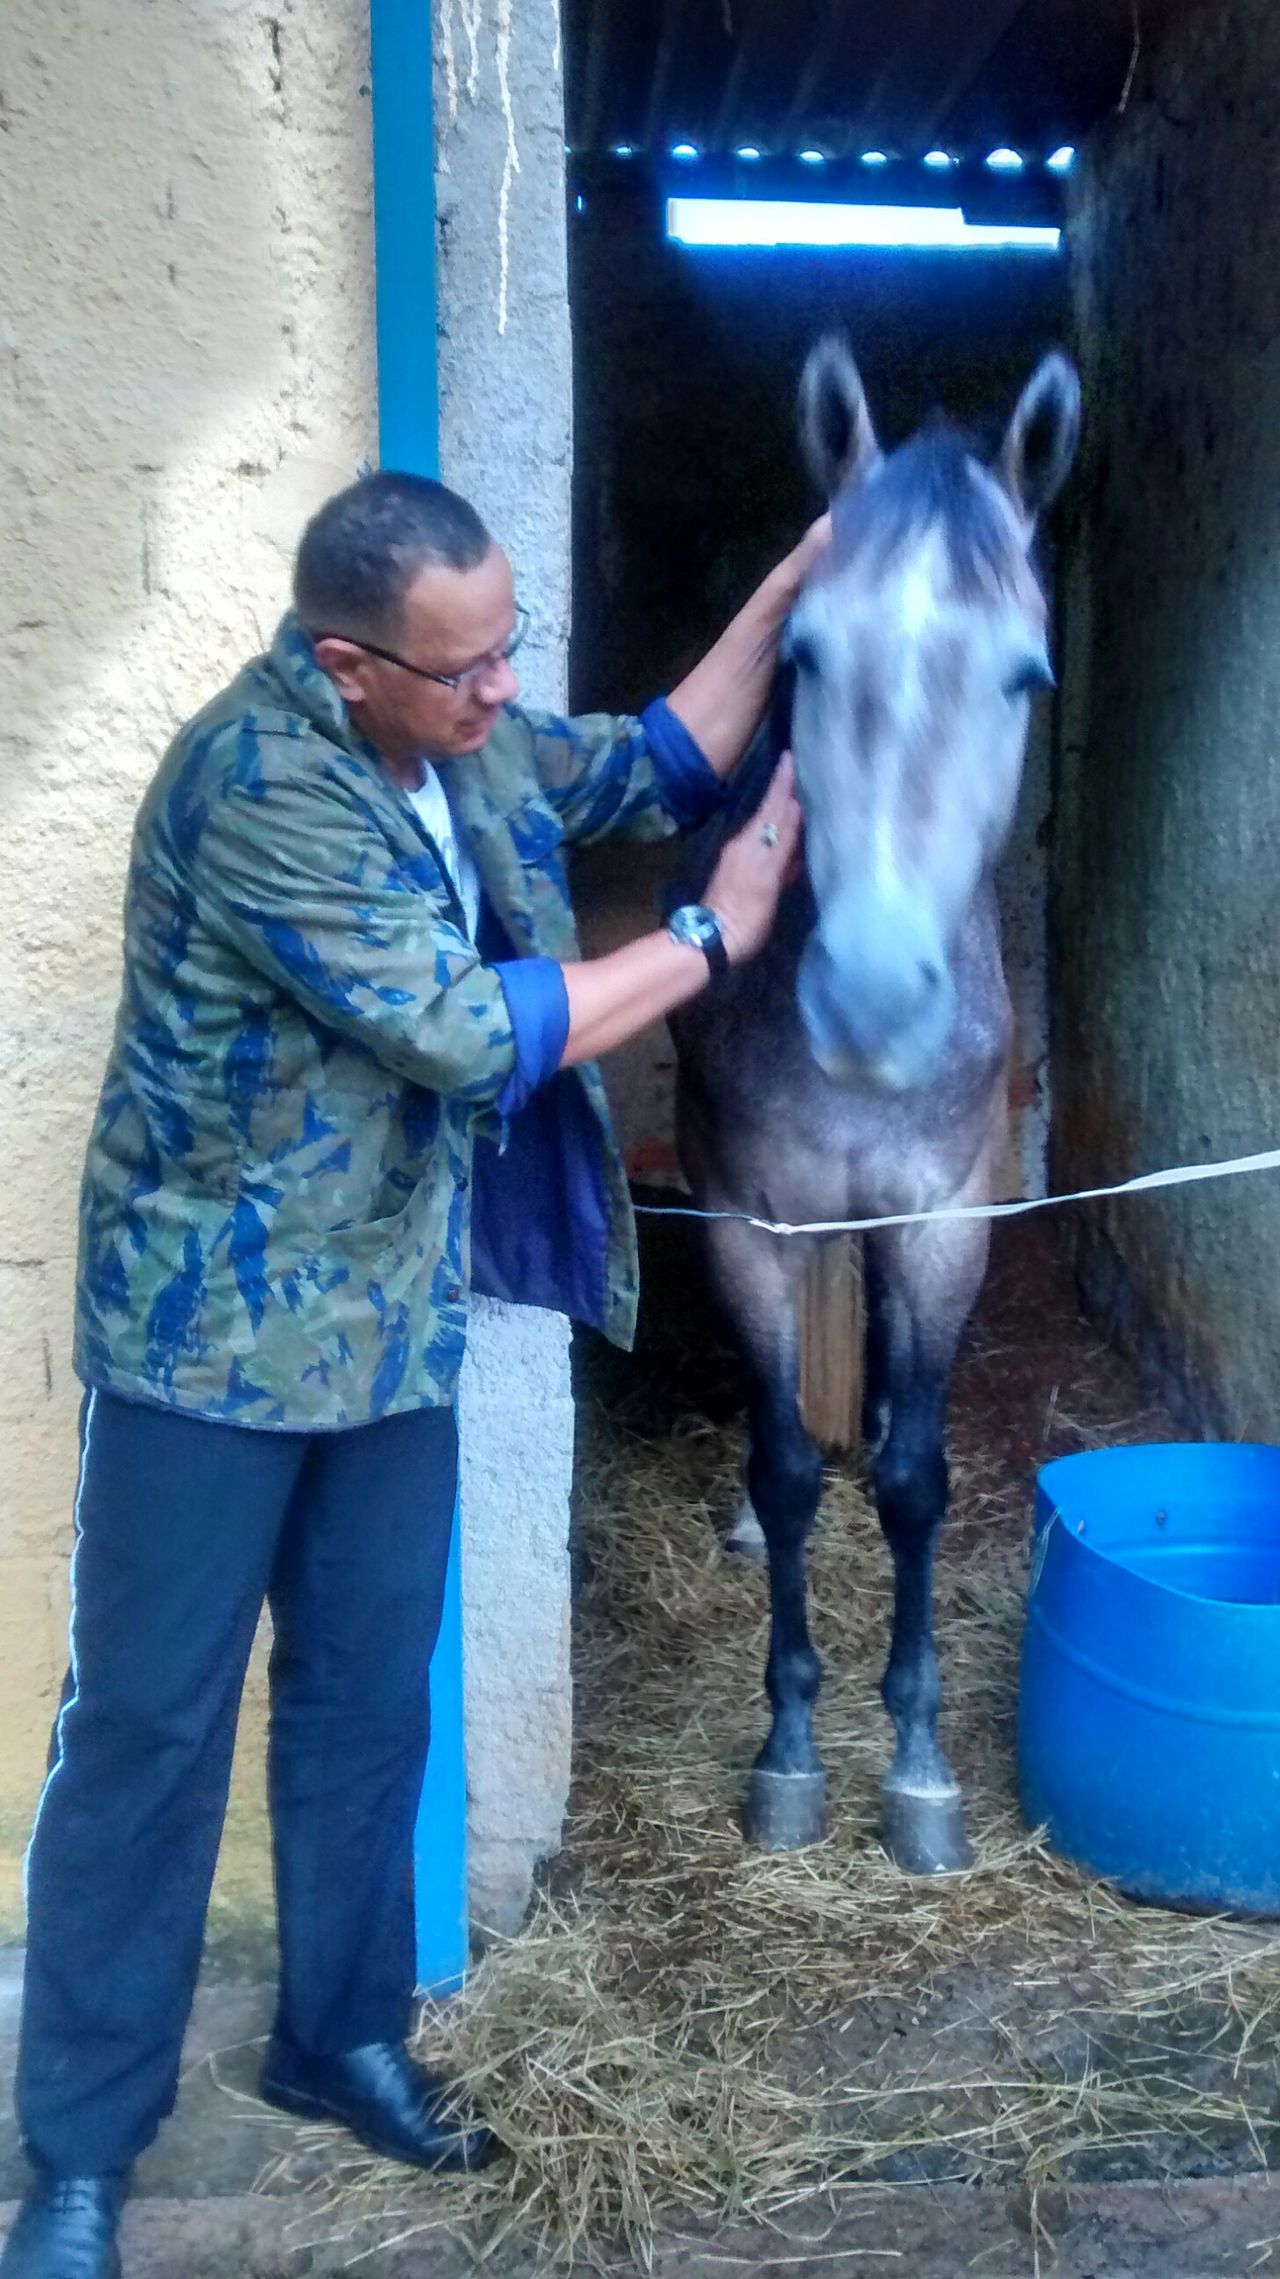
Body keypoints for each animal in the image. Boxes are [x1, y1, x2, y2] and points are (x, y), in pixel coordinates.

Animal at [669, 332, 1075, 1868]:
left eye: (1025, 675)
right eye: (800, 652)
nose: (872, 1000)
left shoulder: (945, 1222)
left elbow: (914, 1480)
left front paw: (916, 1766)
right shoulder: (747, 1219)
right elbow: (788, 1467)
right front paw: (789, 1751)